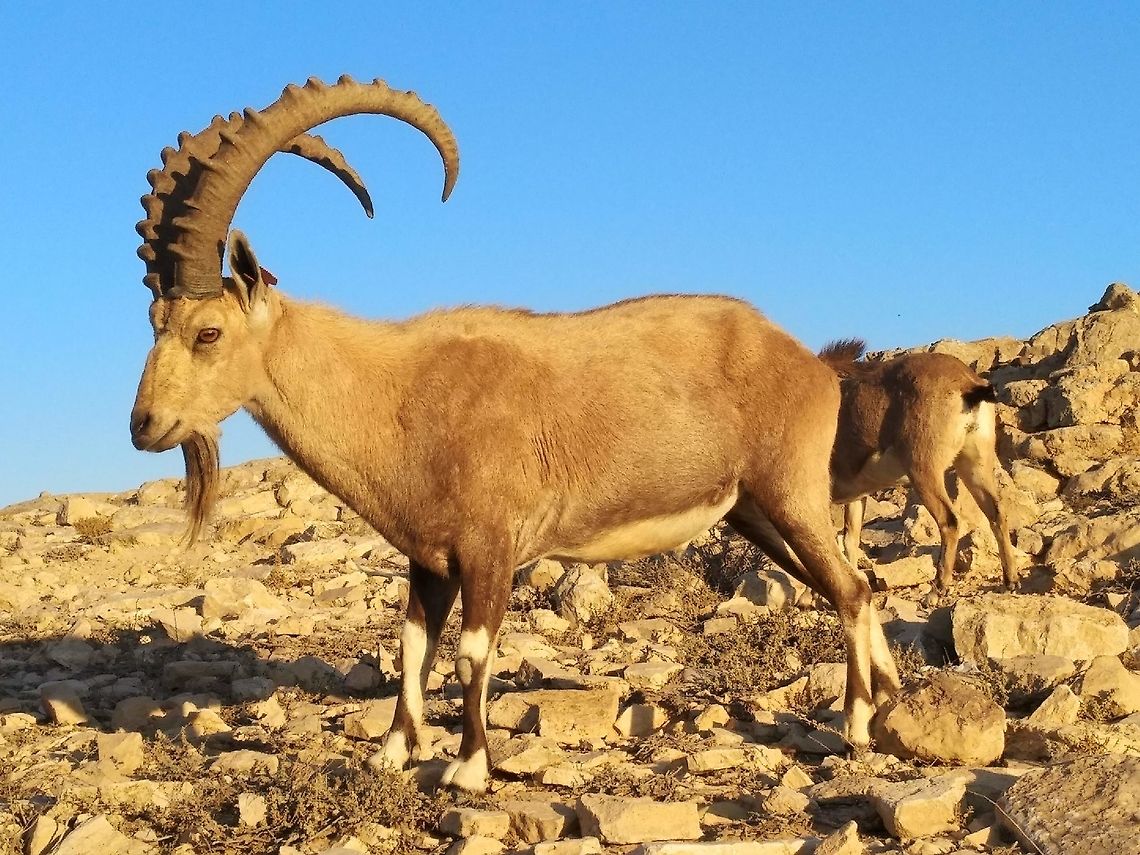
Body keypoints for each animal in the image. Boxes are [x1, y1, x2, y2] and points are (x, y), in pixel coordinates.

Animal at [130, 75, 900, 792]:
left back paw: (856, 723)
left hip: (790, 491)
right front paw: (392, 754)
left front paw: (468, 766)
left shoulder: (490, 547)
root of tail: (812, 364)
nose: (144, 425)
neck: (396, 397)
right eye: (155, 324)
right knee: (853, 584)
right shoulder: (429, 559)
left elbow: (473, 650)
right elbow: (411, 647)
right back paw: (888, 694)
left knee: (850, 588)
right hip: (753, 511)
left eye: (208, 332)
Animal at [819, 339, 1019, 593]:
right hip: (974, 464)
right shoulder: (856, 496)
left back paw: (937, 590)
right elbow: (850, 541)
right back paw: (1011, 579)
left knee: (950, 521)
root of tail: (968, 384)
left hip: (924, 470)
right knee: (997, 513)